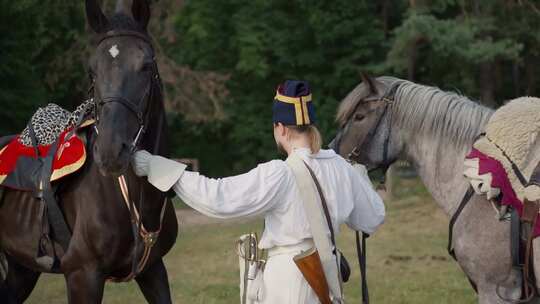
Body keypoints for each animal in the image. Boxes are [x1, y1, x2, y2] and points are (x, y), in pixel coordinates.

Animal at [0, 1, 178, 302]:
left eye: (146, 65)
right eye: (91, 71)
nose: (110, 152)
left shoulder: (153, 270)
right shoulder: (82, 276)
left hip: (21, 270)